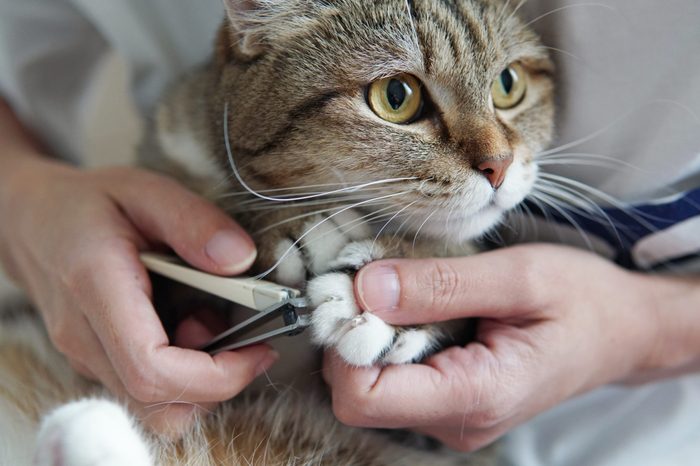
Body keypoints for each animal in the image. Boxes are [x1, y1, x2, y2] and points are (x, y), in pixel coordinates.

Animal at [2, 1, 556, 464]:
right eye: (397, 96)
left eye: (508, 85)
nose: (499, 166)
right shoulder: (166, 148)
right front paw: (288, 223)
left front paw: (397, 302)